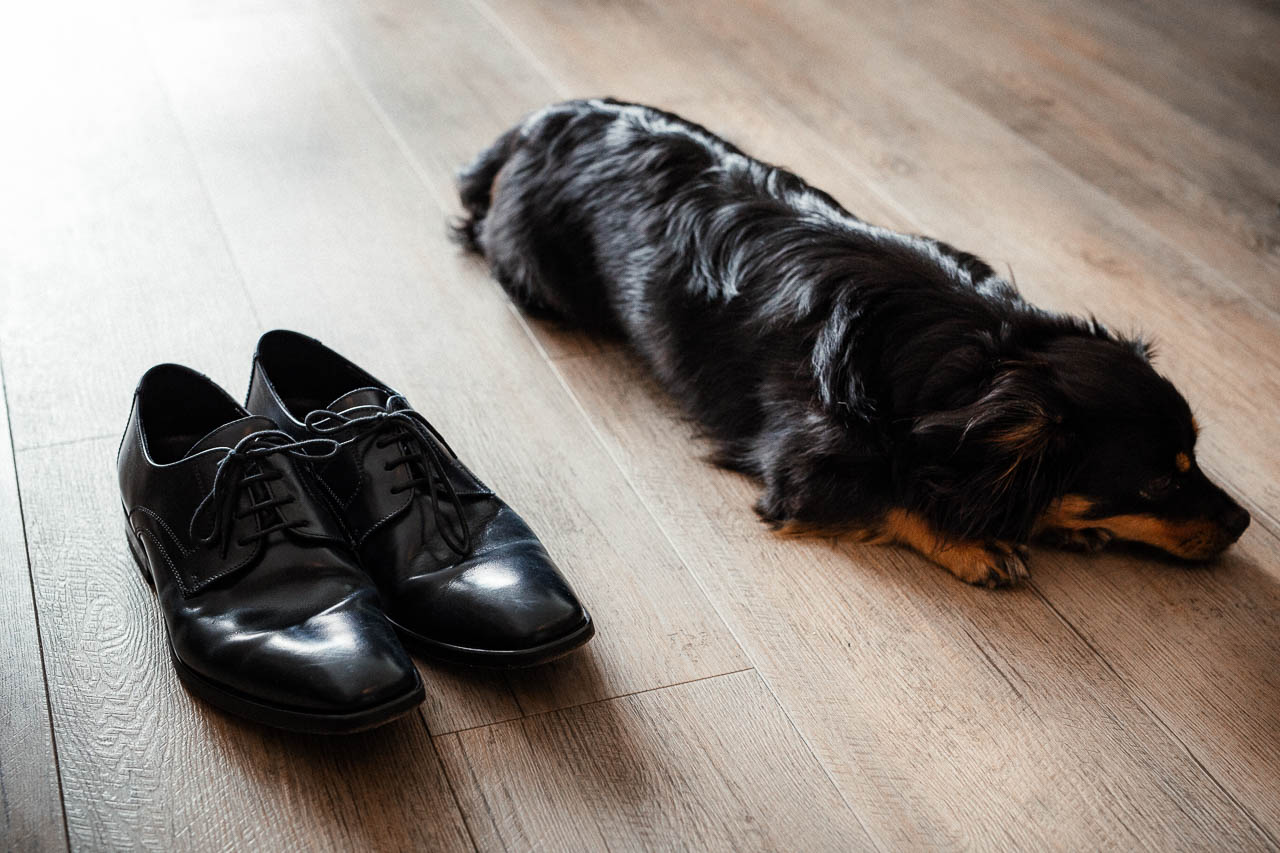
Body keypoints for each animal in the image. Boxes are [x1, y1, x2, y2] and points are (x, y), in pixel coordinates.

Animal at [453, 94, 1249, 584]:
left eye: (1195, 458)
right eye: (1158, 480)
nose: (1244, 521)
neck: (978, 353)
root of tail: (542, 120)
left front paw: (1056, 520)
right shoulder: (801, 474)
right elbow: (893, 498)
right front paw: (979, 541)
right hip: (542, 277)